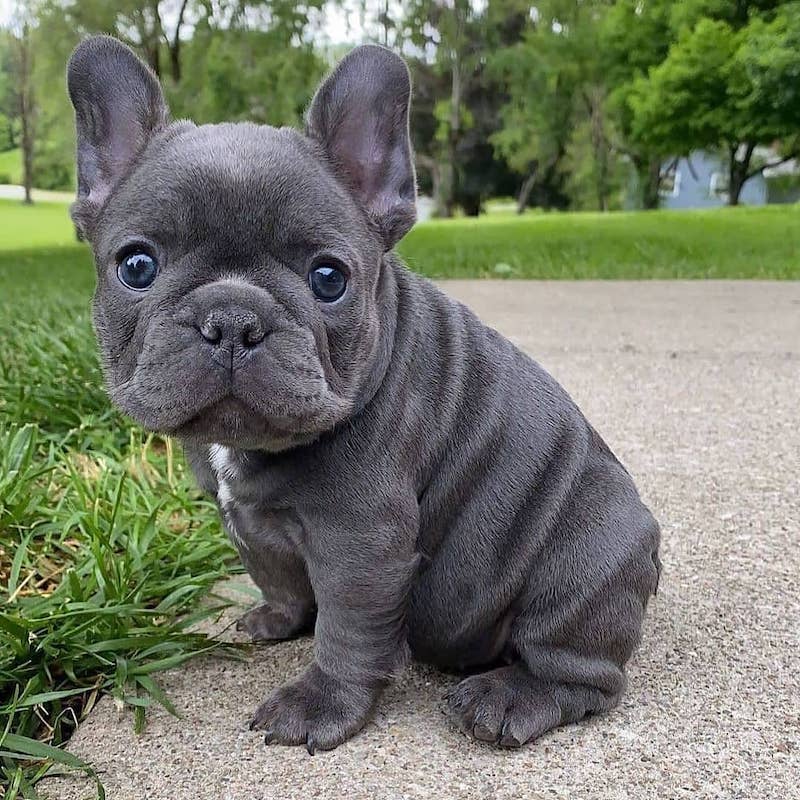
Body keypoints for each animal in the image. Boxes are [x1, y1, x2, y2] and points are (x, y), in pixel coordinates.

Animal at [65, 34, 660, 752]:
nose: (233, 318)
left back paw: (508, 698)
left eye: (329, 279)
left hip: (582, 567)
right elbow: (274, 569)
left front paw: (319, 704)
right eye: (136, 266)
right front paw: (277, 617)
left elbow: (347, 632)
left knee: (584, 674)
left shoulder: (362, 542)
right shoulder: (247, 519)